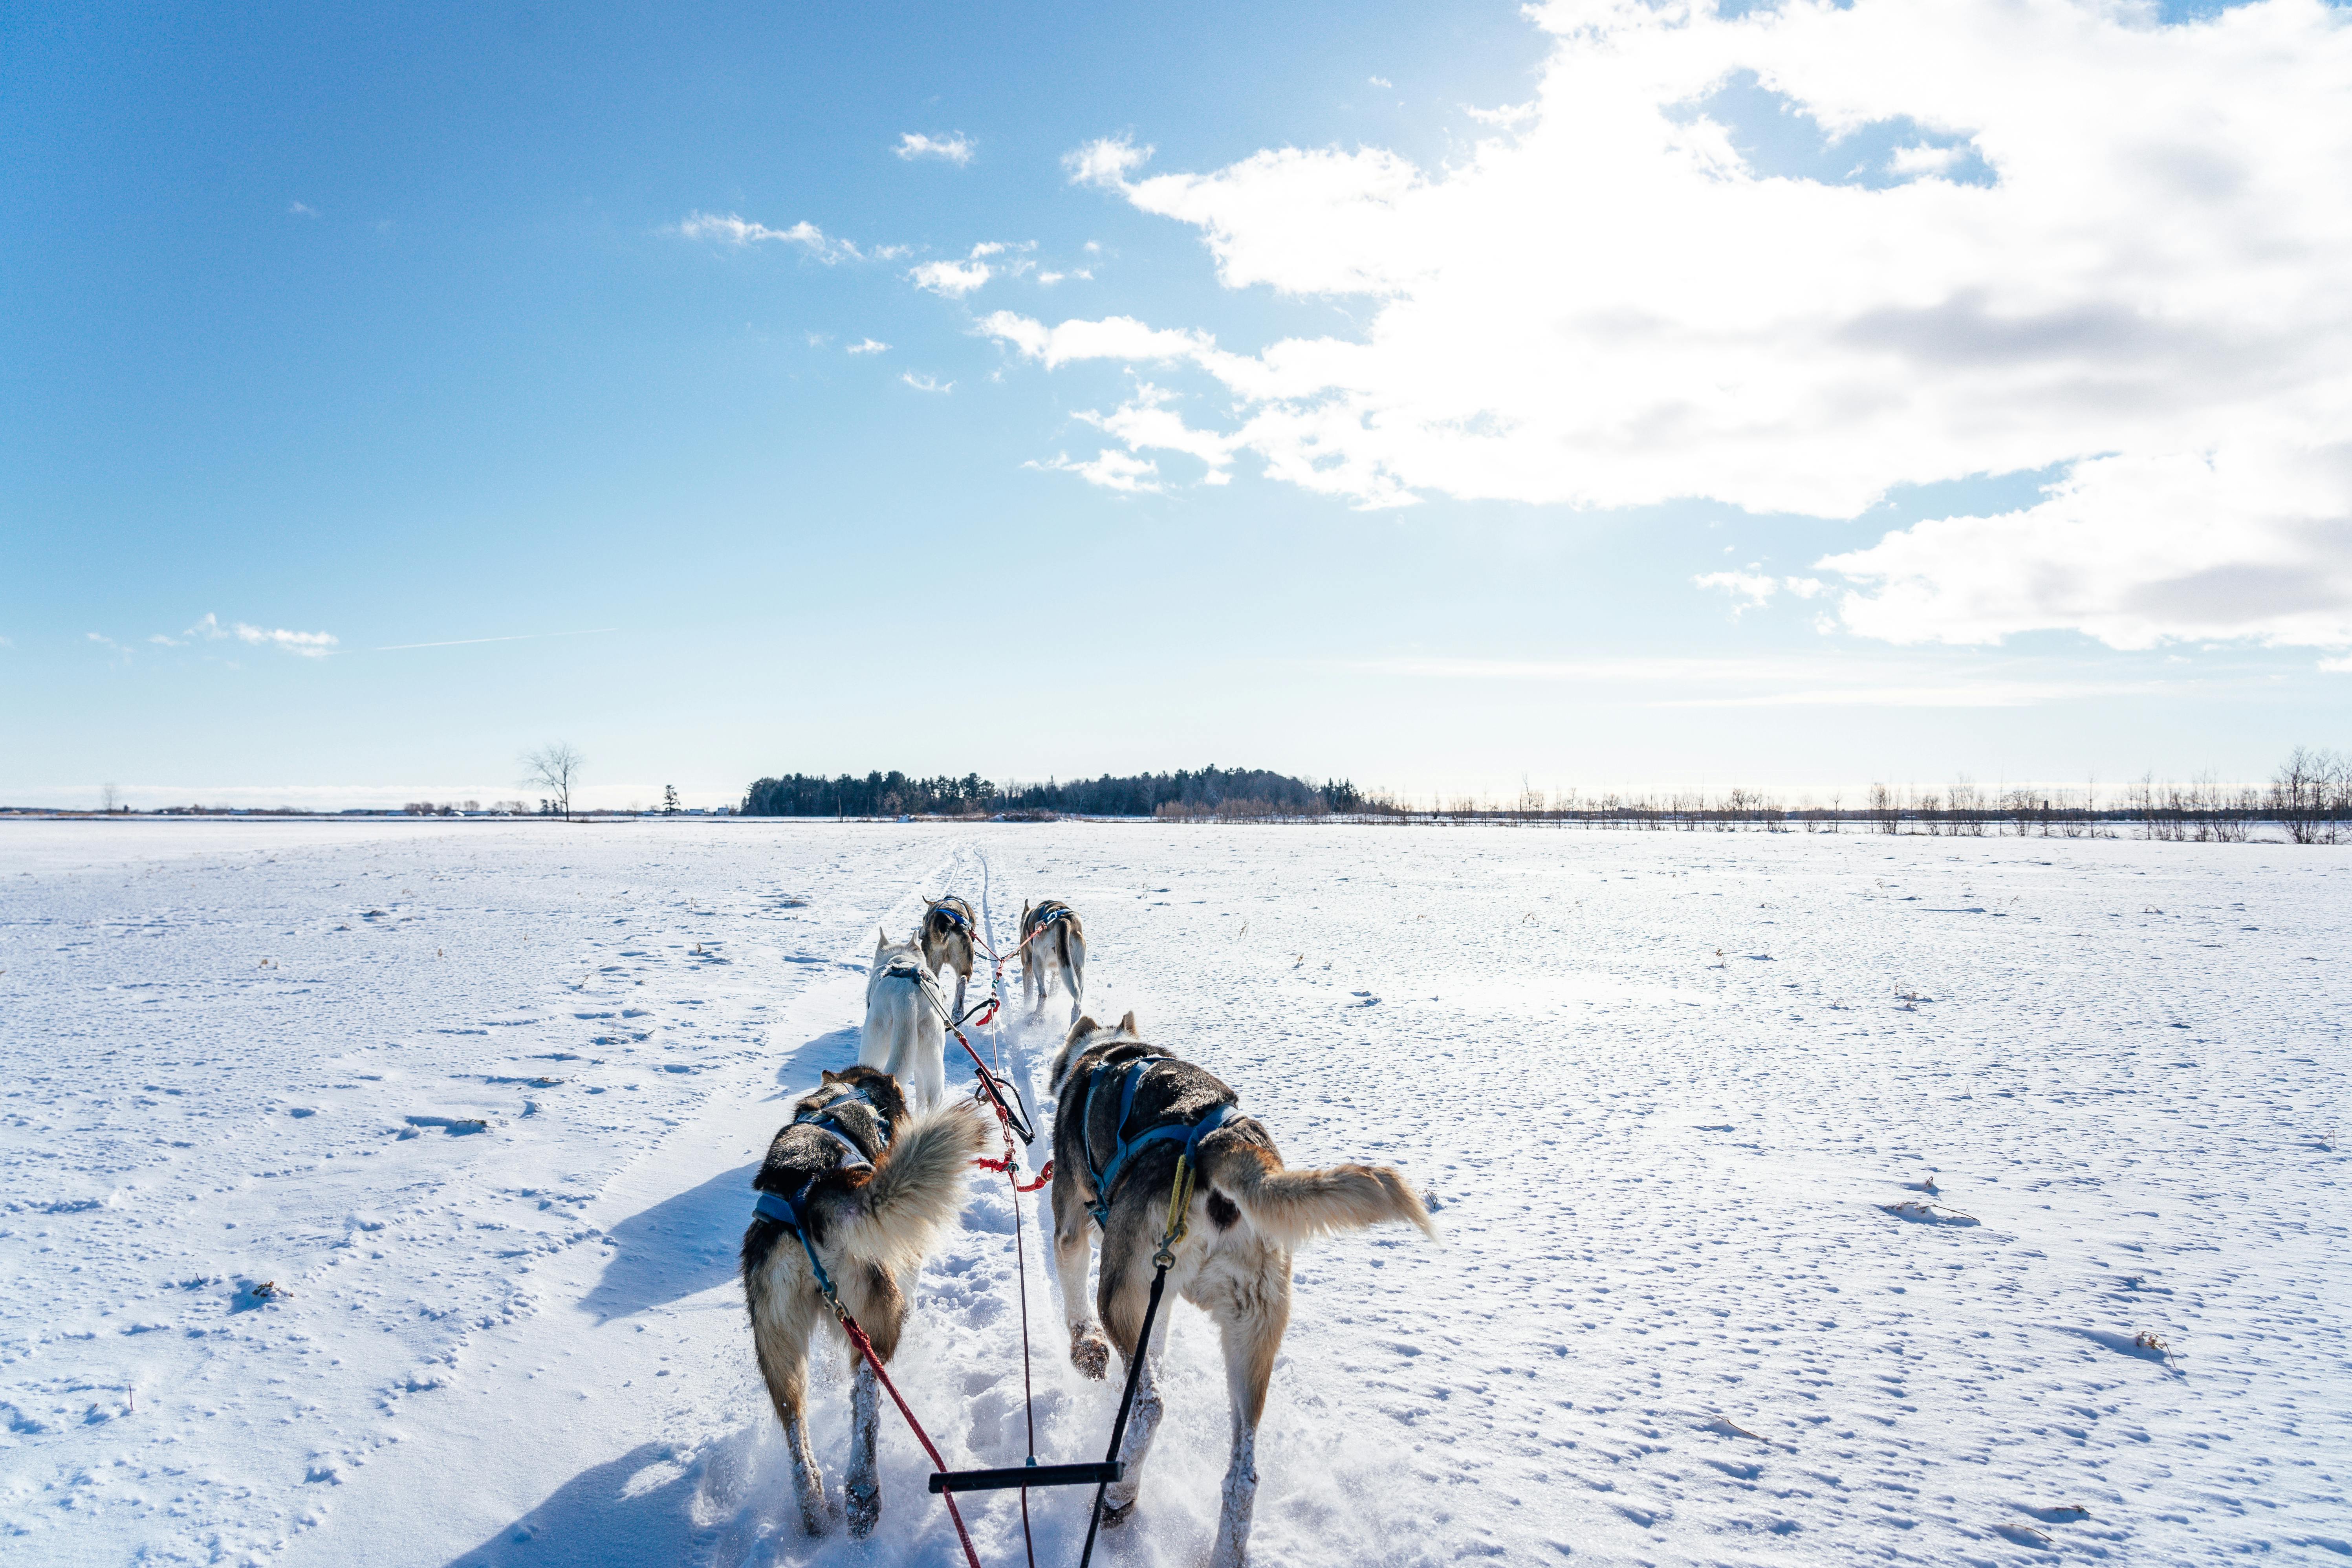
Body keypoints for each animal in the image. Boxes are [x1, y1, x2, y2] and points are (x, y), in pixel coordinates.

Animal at [743, 1072, 983, 1542]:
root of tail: (806, 1197)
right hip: (880, 1317)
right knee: (868, 1394)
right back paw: (862, 1493)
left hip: (779, 1348)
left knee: (795, 1427)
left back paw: (815, 1509)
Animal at [912, 893, 978, 1020]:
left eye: (924, 919)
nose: (920, 933)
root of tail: (949, 923)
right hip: (963, 961)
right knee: (962, 979)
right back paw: (958, 1012)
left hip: (934, 960)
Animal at [1011, 903, 1082, 1025]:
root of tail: (1063, 920)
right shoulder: (1058, 972)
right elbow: (1053, 992)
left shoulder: (1027, 967)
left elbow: (1028, 995)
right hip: (1077, 970)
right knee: (1077, 1006)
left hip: (1037, 962)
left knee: (1043, 995)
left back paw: (1035, 1017)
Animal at [1049, 1020, 1430, 1568]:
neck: (1106, 1051)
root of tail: (1220, 1143)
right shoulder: (1155, 1301)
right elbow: (1155, 1347)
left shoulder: (1073, 1230)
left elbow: (1075, 1295)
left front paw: (1085, 1350)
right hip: (1251, 1332)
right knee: (1243, 1475)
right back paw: (1224, 1548)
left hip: (1120, 1295)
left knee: (1149, 1405)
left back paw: (1118, 1492)